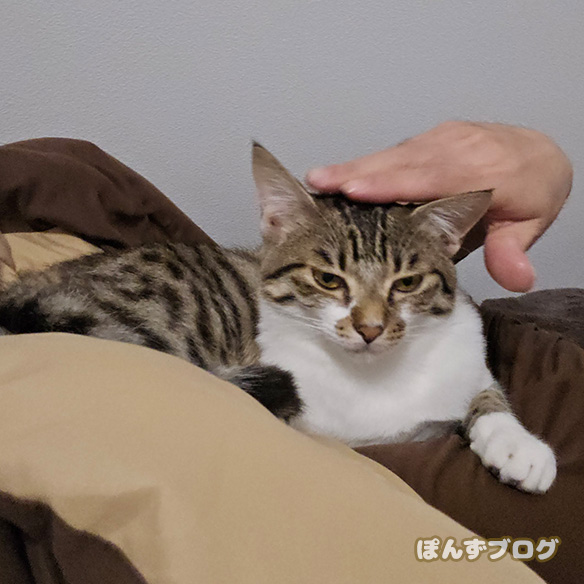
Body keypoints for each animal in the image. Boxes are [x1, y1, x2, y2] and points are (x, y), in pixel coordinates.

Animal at [0, 143, 556, 493]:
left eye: (406, 284)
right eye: (328, 279)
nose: (370, 328)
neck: (376, 375)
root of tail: (31, 286)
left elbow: (483, 391)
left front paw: (516, 444)